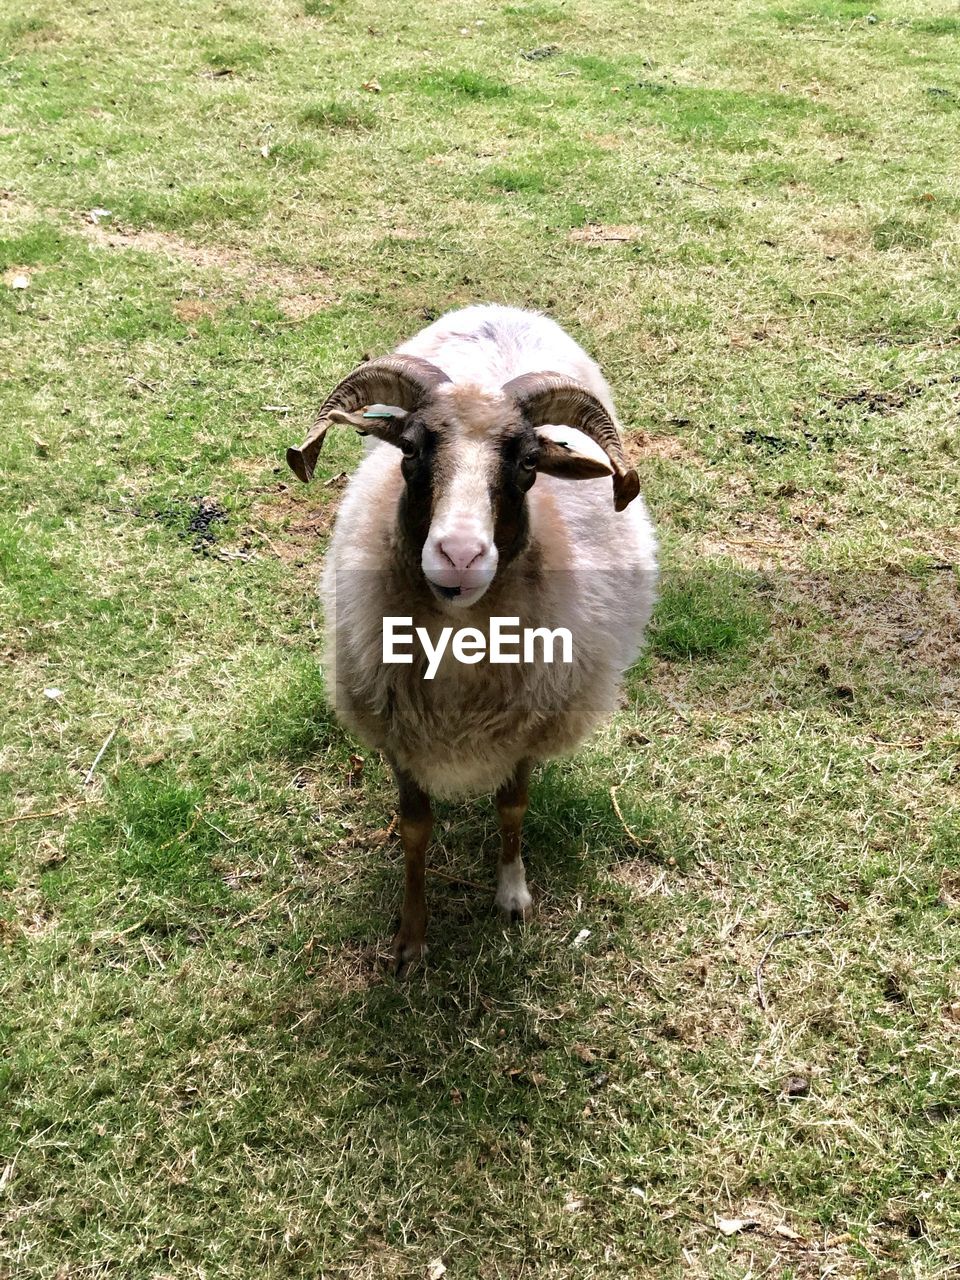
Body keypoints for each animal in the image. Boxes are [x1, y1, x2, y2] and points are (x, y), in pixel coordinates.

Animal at [289, 307, 660, 967]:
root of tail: (505, 310)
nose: (460, 554)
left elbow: (512, 807)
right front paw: (411, 937)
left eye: (529, 462)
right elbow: (416, 830)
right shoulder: (399, 732)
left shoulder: (528, 725)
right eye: (411, 449)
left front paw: (512, 894)